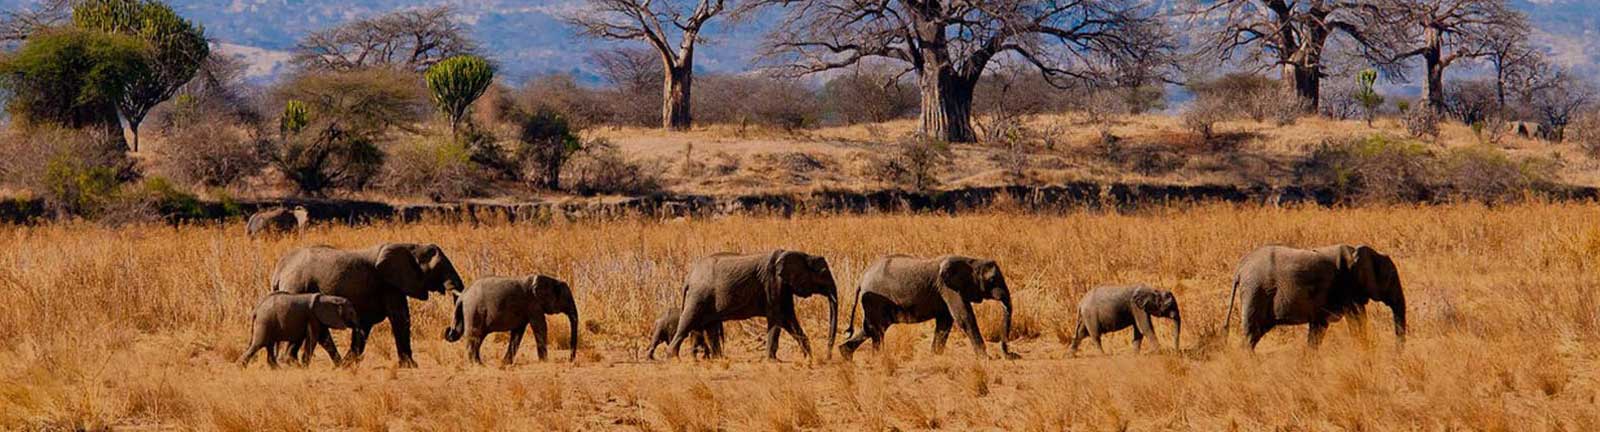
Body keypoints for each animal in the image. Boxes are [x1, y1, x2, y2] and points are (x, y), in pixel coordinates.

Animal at [270, 243, 464, 368]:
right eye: (438, 268)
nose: (448, 331)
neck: (412, 247)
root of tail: (279, 270)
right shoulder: (389, 285)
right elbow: (401, 319)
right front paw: (411, 366)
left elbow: (365, 325)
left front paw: (350, 363)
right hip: (297, 288)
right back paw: (292, 363)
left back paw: (335, 364)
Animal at [444, 275, 582, 363]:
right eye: (567, 299)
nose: (570, 359)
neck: (550, 280)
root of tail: (462, 295)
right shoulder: (533, 304)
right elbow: (540, 327)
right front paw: (545, 362)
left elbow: (518, 332)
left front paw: (505, 363)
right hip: (474, 311)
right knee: (475, 336)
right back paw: (477, 364)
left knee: (478, 338)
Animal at [665, 249, 844, 361]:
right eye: (823, 273)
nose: (828, 357)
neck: (802, 253)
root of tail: (688, 278)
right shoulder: (773, 284)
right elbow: (778, 319)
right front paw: (772, 361)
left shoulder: (784, 288)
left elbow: (790, 319)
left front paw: (809, 357)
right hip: (699, 295)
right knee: (688, 321)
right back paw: (673, 357)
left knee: (711, 326)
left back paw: (718, 359)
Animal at [832, 254, 1017, 360]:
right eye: (992, 280)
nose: (1011, 354)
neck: (972, 261)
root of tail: (861, 278)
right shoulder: (948, 288)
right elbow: (964, 317)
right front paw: (985, 359)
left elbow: (945, 322)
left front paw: (935, 356)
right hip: (875, 300)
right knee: (876, 328)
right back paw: (876, 358)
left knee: (872, 327)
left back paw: (845, 354)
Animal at [1228, 244, 1408, 348]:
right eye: (1392, 278)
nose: (1396, 354)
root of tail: (1239, 268)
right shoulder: (1346, 286)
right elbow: (1357, 319)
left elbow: (1318, 327)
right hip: (1255, 291)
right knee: (1252, 332)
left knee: (1256, 332)